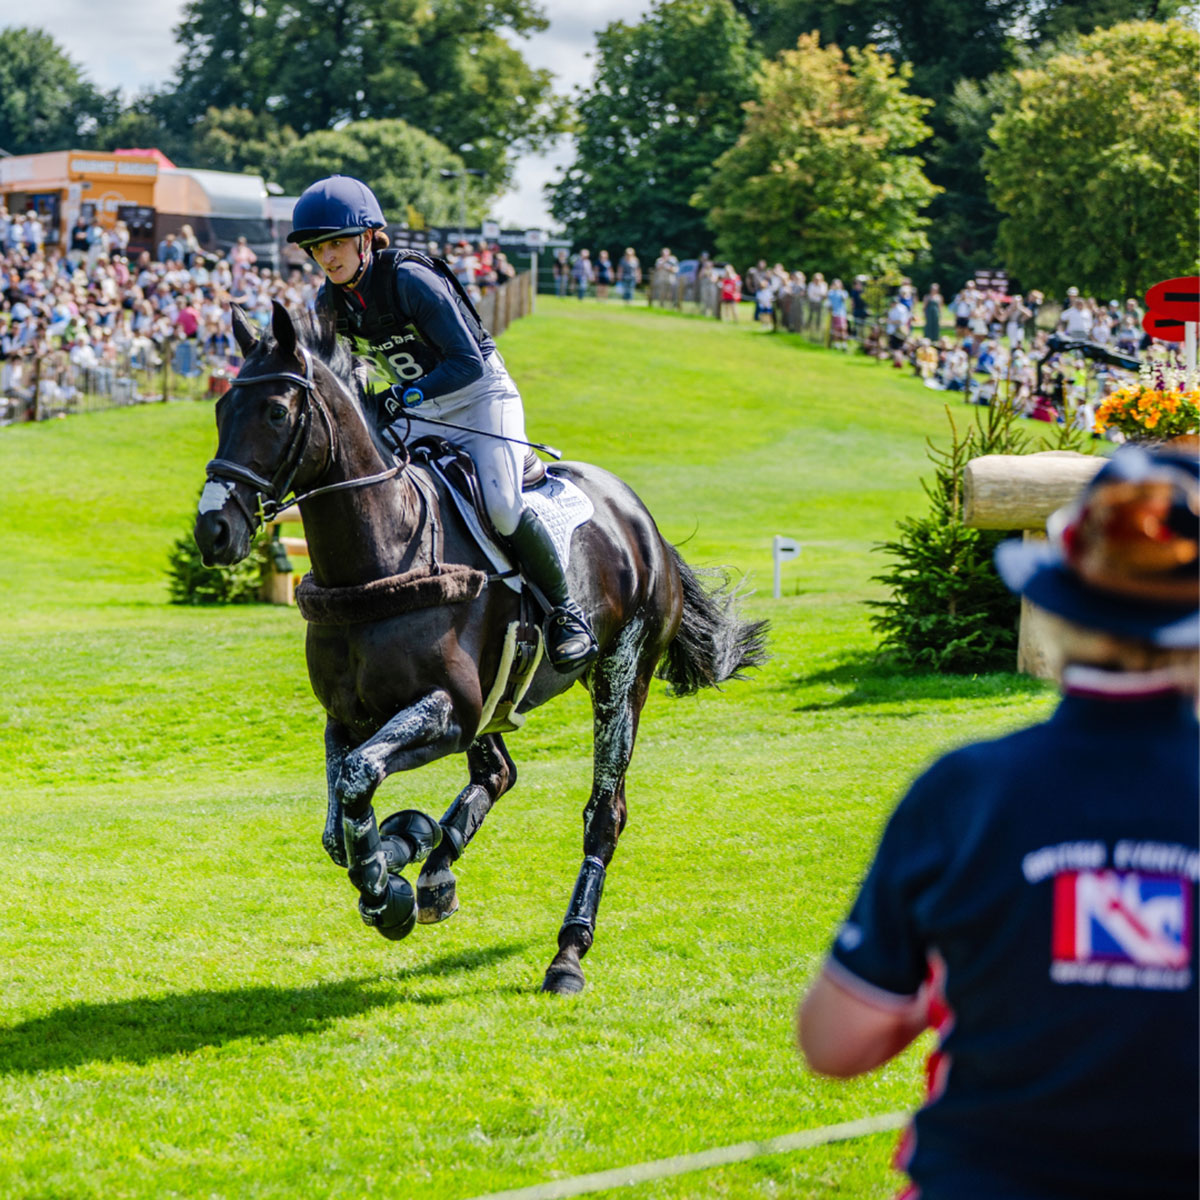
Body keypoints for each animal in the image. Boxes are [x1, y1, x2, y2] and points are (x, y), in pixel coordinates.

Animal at [192, 302, 763, 993]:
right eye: (222, 409)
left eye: (276, 412)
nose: (213, 529)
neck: (384, 555)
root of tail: (641, 520)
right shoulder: (351, 717)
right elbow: (341, 821)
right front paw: (399, 852)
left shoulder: (450, 710)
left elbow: (357, 783)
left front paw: (385, 891)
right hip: (499, 700)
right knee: (498, 773)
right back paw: (433, 863)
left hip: (620, 680)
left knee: (604, 812)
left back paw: (567, 953)